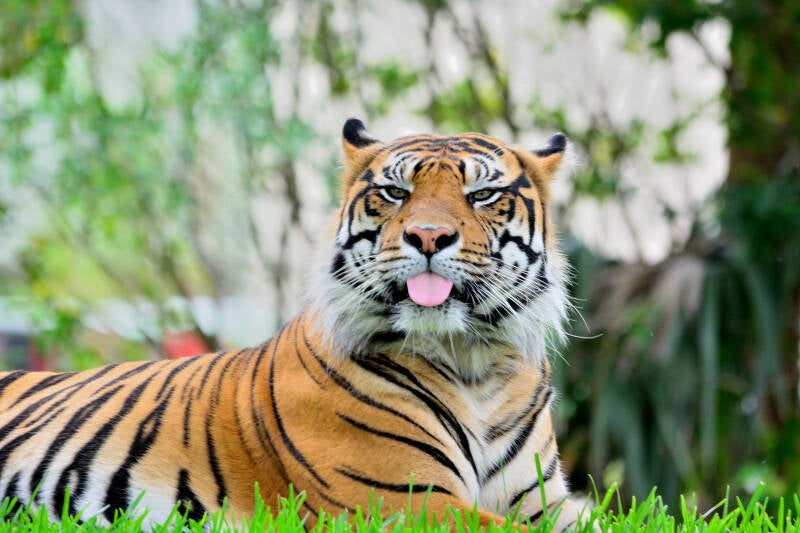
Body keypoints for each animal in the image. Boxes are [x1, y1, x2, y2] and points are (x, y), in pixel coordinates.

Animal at [0, 119, 587, 531]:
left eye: (482, 195)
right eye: (395, 193)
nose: (427, 236)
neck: (474, 362)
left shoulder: (550, 503)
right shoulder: (402, 499)